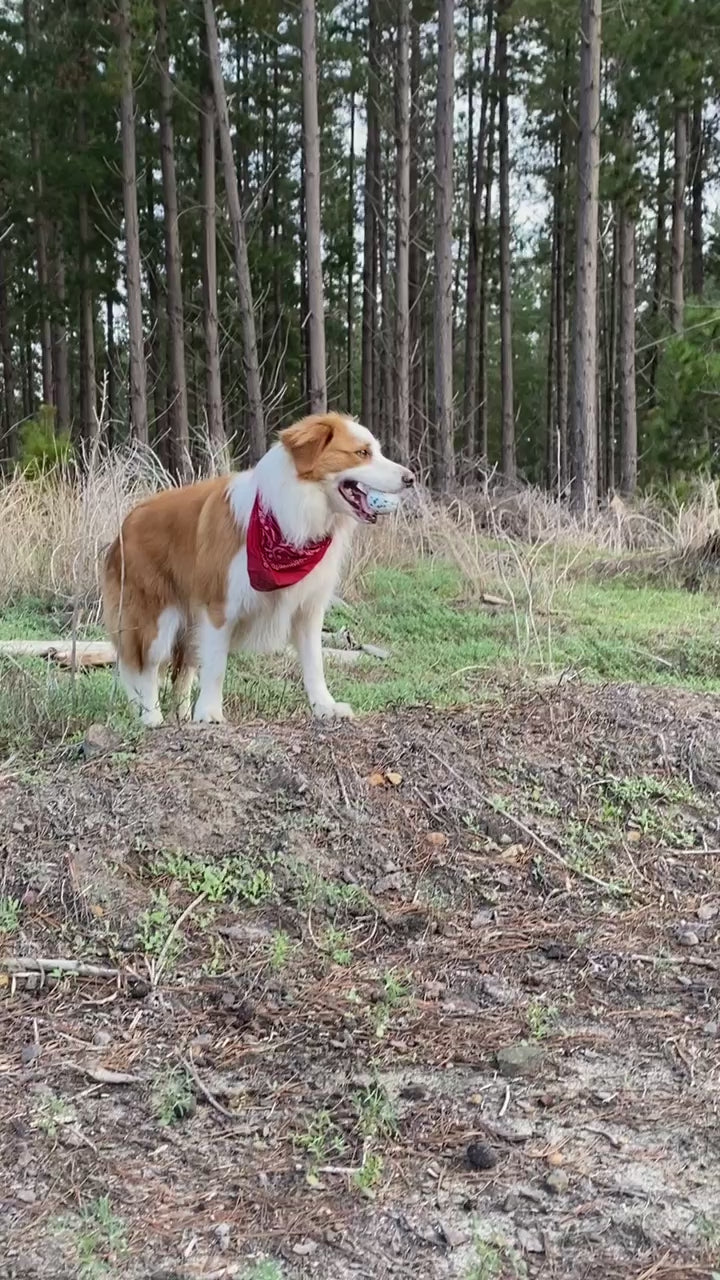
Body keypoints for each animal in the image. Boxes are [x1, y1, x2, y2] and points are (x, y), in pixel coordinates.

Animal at [103, 414, 412, 727]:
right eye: (362, 453)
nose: (410, 478)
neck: (292, 514)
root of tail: (125, 524)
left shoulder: (308, 609)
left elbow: (315, 664)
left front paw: (325, 706)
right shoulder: (219, 608)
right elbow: (216, 666)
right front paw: (210, 712)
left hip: (188, 625)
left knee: (181, 673)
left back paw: (183, 717)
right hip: (155, 620)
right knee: (143, 670)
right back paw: (151, 717)